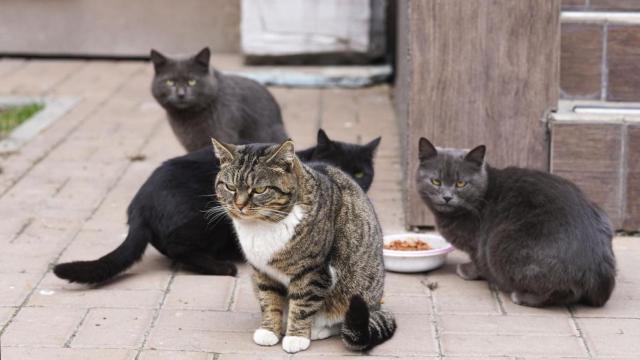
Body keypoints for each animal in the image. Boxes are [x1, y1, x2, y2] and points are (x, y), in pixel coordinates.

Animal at [53, 129, 380, 284]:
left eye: (360, 172)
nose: (349, 181)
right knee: (178, 248)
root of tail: (139, 205)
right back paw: (222, 266)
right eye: (335, 165)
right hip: (209, 217)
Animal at [210, 139, 396, 354]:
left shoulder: (312, 271)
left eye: (259, 190)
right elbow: (269, 300)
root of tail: (377, 305)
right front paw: (269, 331)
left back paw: (316, 330)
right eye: (230, 187)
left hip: (354, 291)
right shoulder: (262, 271)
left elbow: (302, 305)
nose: (239, 205)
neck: (262, 226)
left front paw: (296, 337)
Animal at [416, 137, 616, 306]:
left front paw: (467, 271)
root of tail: (597, 274)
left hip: (500, 243)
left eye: (461, 184)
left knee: (567, 292)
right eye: (436, 181)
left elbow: (478, 261)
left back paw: (522, 296)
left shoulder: (478, 246)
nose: (447, 197)